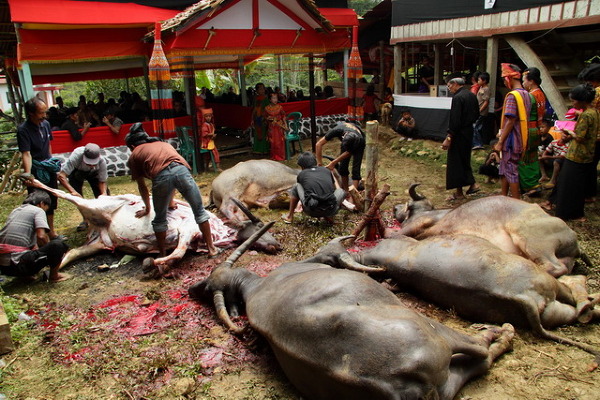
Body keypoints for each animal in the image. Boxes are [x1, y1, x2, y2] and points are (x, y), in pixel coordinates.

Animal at [189, 225, 516, 400]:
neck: (257, 286)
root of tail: (404, 387)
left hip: (446, 383)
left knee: (478, 364)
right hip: (436, 332)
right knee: (481, 352)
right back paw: (502, 332)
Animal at [336, 236, 600, 360]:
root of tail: (522, 296)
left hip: (550, 312)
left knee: (573, 313)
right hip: (545, 281)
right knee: (573, 292)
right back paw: (588, 297)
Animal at [394, 185, 580, 276]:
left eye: (407, 204)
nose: (395, 207)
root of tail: (572, 236)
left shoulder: (419, 224)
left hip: (528, 238)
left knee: (554, 267)